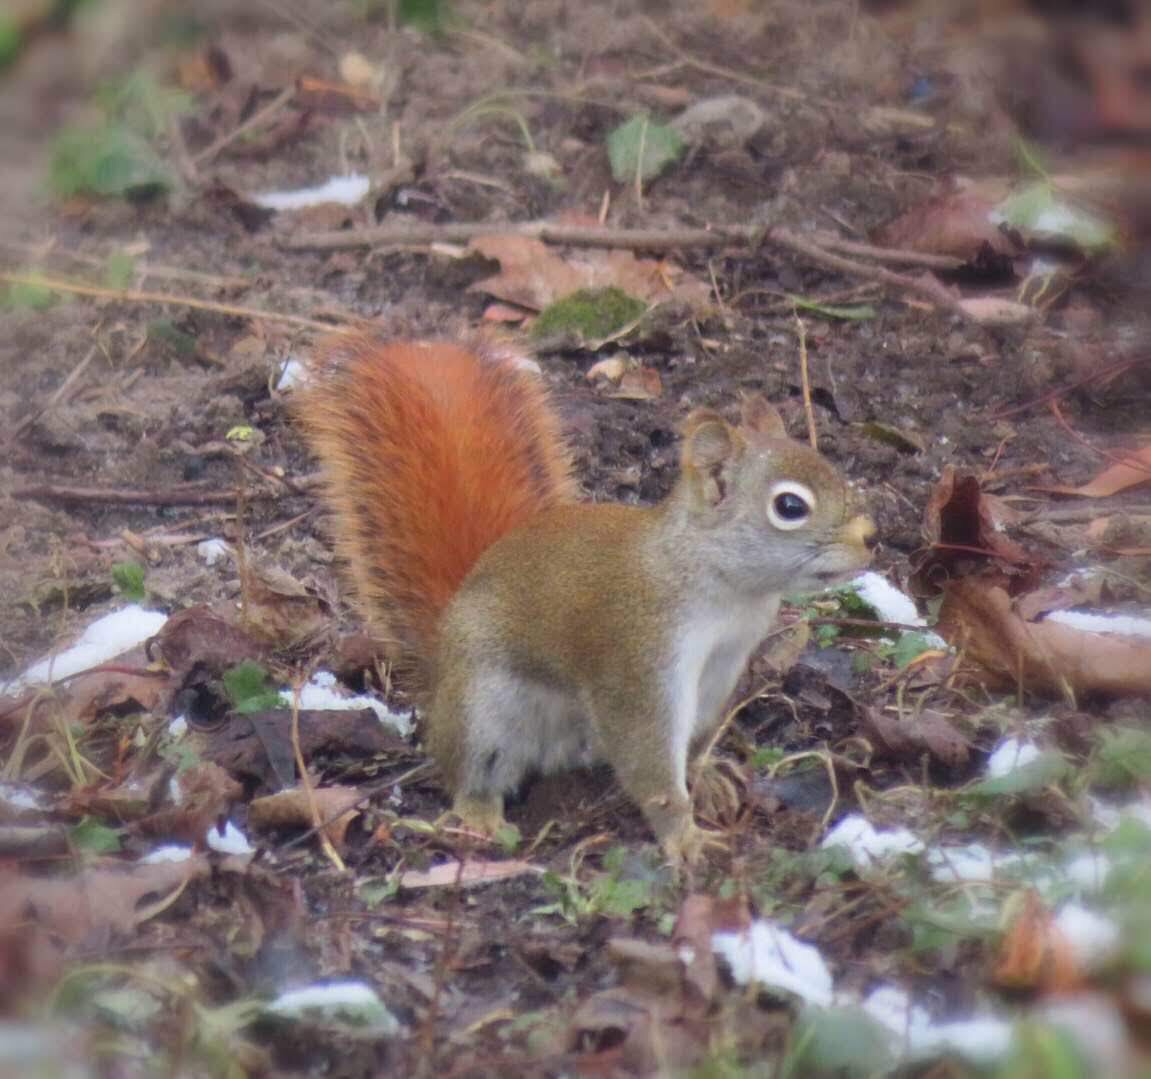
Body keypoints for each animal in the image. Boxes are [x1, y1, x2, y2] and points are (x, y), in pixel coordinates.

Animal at [294, 331, 870, 861]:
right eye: (790, 506)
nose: (870, 538)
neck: (727, 592)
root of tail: (441, 656)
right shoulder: (638, 659)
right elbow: (649, 758)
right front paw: (683, 837)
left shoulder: (721, 668)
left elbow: (697, 738)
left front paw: (706, 778)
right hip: (483, 708)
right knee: (466, 769)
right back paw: (478, 813)